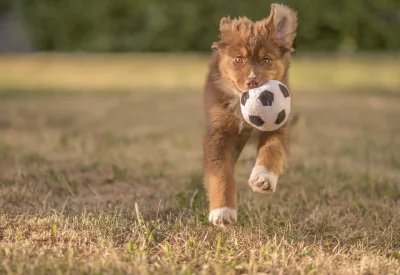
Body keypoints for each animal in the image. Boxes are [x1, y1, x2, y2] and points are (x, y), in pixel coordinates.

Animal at [203, 3, 296, 227]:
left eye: (266, 60)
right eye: (238, 59)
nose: (253, 82)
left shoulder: (279, 125)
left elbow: (273, 149)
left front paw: (263, 177)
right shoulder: (218, 132)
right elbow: (220, 172)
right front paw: (222, 210)